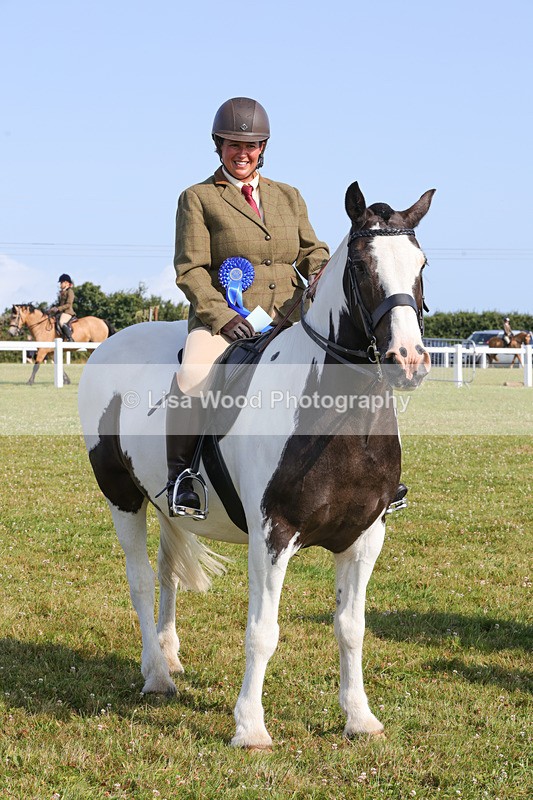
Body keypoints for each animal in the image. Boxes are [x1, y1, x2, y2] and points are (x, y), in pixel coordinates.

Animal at [78, 181, 435, 748]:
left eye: (421, 263)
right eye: (360, 264)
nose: (409, 360)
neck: (340, 417)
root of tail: (112, 341)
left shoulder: (365, 536)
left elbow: (351, 627)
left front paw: (360, 718)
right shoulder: (273, 534)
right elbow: (263, 632)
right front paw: (249, 727)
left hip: (167, 504)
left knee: (166, 573)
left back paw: (169, 657)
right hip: (122, 497)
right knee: (139, 580)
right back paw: (156, 674)